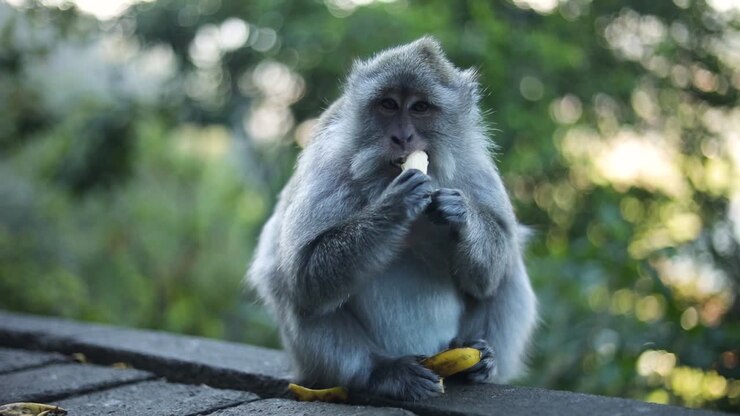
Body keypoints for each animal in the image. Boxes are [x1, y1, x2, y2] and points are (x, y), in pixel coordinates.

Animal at [247, 37, 537, 401]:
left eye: (420, 107)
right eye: (388, 104)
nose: (402, 137)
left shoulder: (475, 167)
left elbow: (492, 270)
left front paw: (462, 215)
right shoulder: (330, 165)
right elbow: (303, 275)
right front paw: (396, 205)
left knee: (509, 267)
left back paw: (481, 361)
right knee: (284, 282)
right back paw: (382, 373)